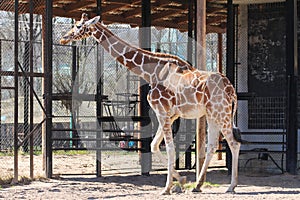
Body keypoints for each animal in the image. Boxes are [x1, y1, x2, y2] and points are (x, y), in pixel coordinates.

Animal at [59, 13, 240, 195]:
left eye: (79, 26)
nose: (63, 38)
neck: (151, 72)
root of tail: (231, 90)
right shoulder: (171, 115)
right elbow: (154, 145)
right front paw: (180, 180)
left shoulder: (162, 111)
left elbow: (169, 148)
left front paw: (167, 187)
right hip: (212, 114)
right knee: (212, 146)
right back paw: (198, 185)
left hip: (222, 113)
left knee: (234, 143)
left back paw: (231, 186)